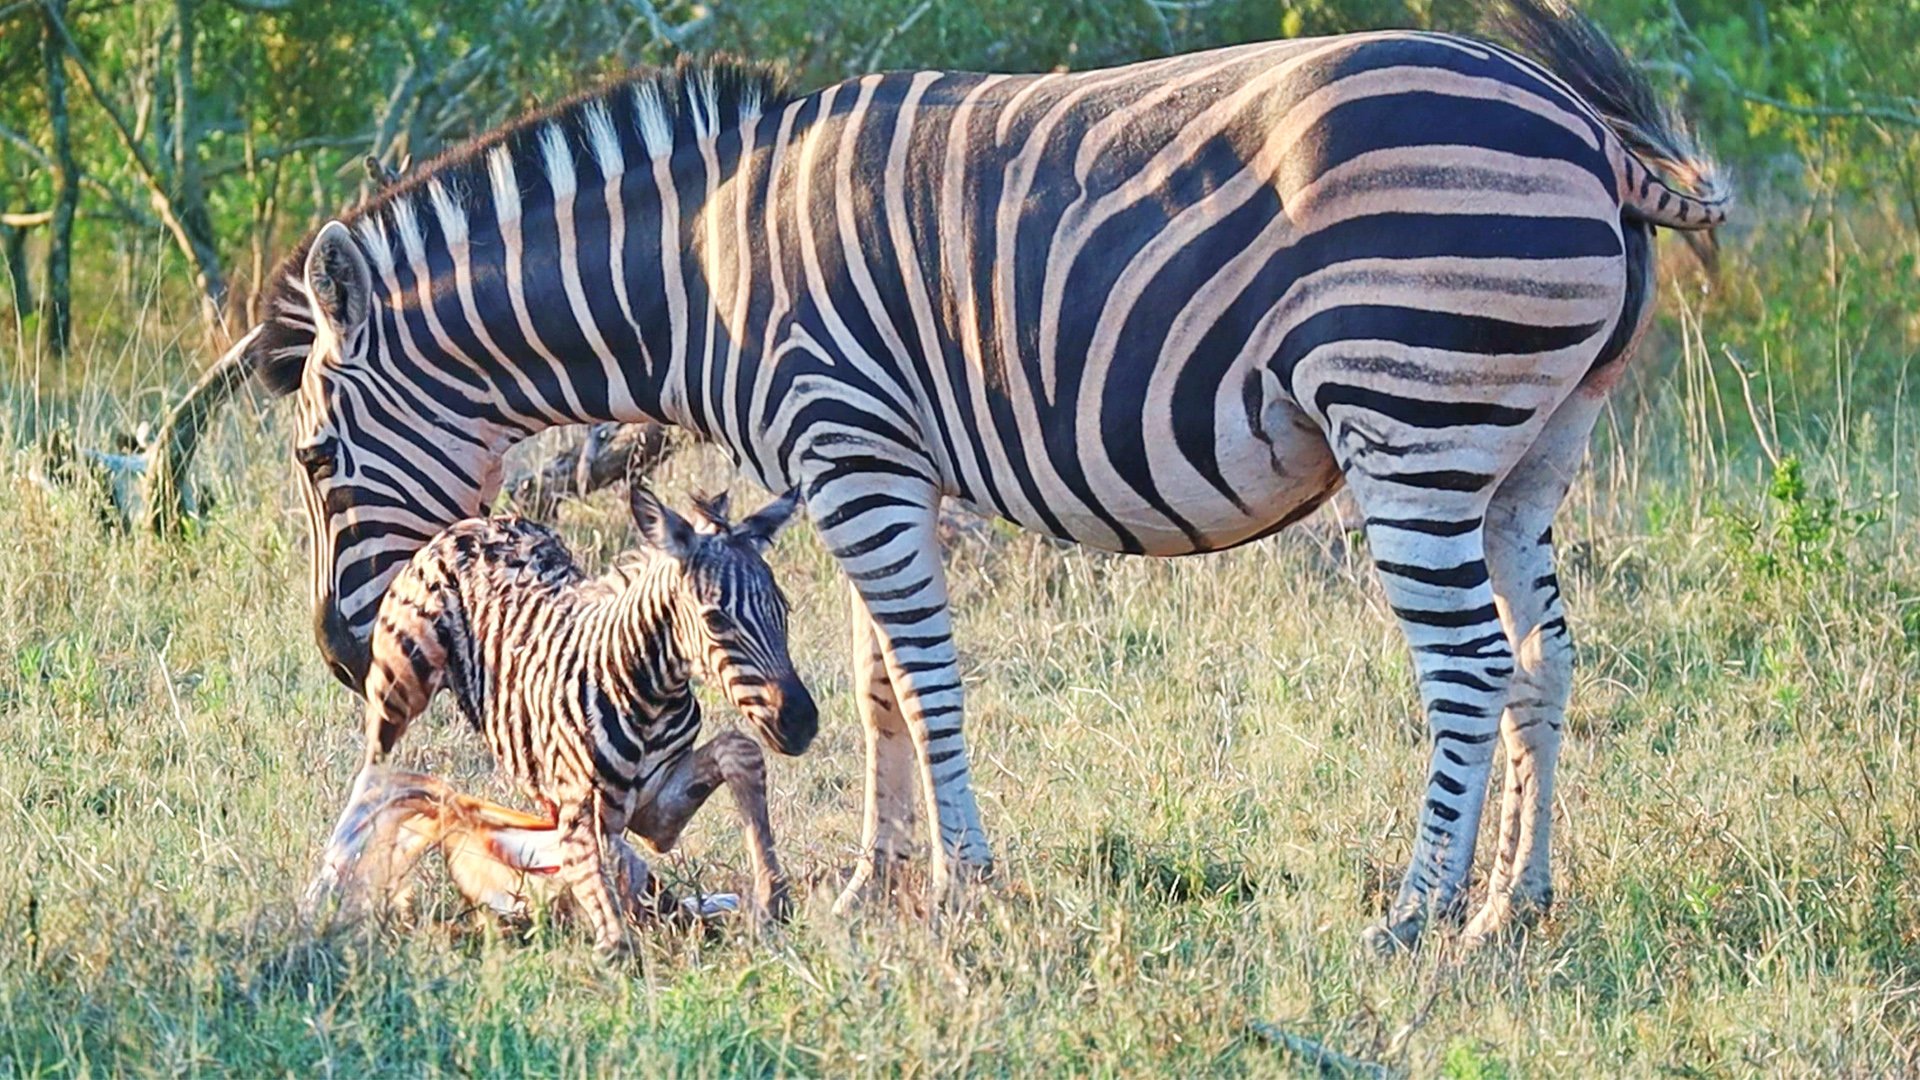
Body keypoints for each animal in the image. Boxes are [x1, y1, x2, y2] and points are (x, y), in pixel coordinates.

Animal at [315, 483, 809, 955]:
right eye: (715, 620)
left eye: (783, 610)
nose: (800, 723)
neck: (649, 693)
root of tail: (481, 521)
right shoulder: (584, 806)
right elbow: (602, 894)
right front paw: (617, 933)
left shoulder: (655, 814)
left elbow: (740, 751)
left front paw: (771, 900)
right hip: (399, 683)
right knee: (375, 778)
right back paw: (326, 891)